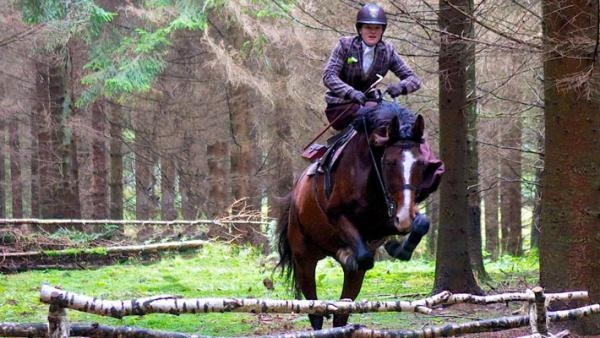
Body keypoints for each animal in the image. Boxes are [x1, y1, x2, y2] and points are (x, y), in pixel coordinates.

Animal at [276, 101, 440, 328]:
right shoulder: (338, 215)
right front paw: (351, 255)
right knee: (315, 310)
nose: (404, 217)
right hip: (304, 258)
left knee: (342, 313)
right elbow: (363, 256)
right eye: (389, 163)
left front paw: (398, 248)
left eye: (422, 163)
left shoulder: (388, 219)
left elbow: (422, 223)